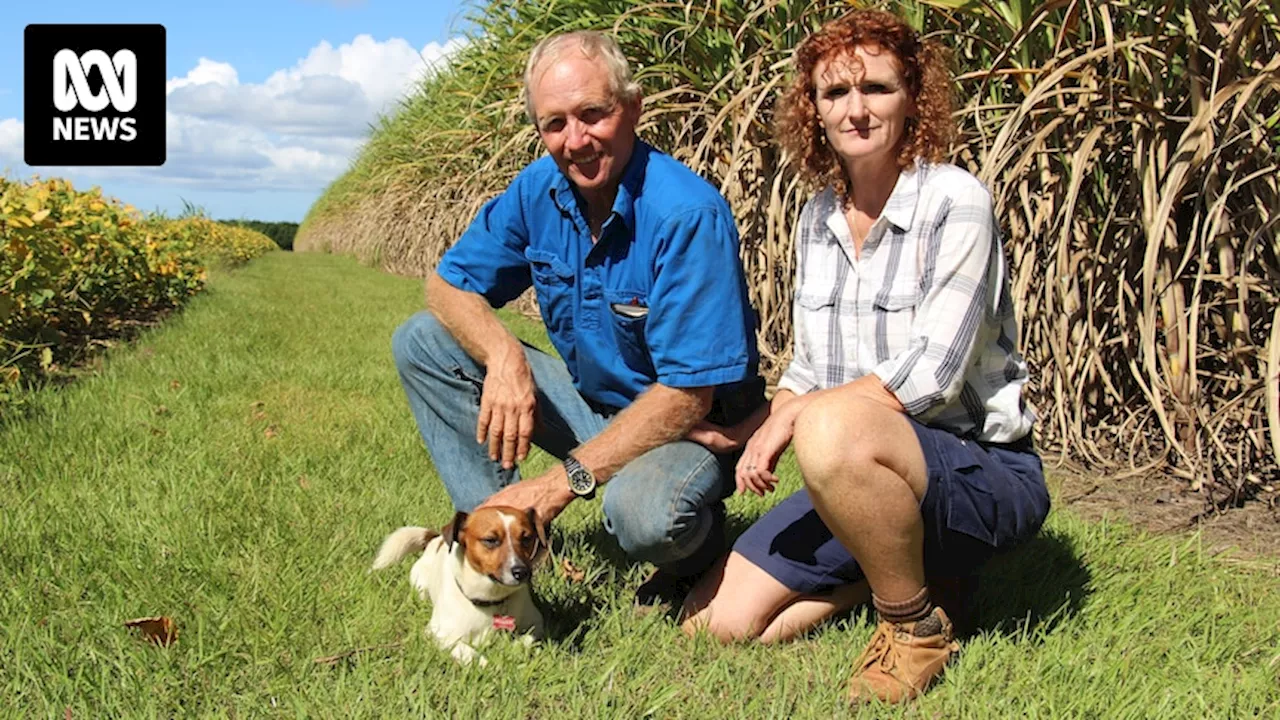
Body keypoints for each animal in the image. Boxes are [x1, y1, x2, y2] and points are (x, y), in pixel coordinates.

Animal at [373, 504, 547, 661]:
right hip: (420, 586)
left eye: (526, 538)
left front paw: (514, 648)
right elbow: (470, 653)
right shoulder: (438, 633)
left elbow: (527, 639)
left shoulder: (536, 623)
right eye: (490, 540)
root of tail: (436, 539)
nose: (522, 572)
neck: (491, 599)